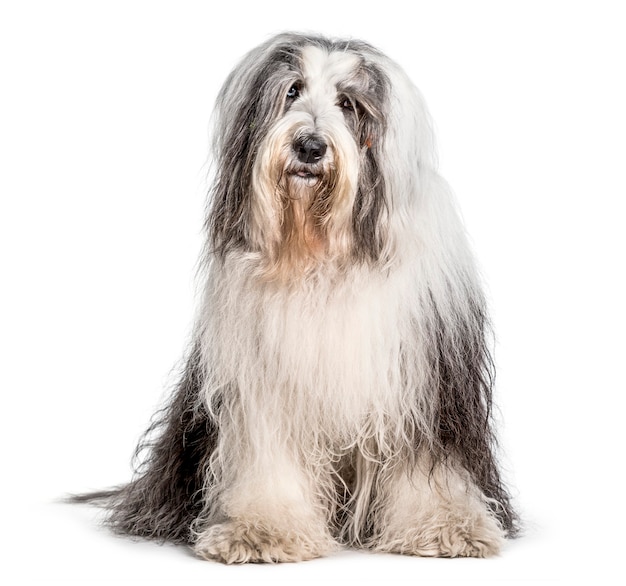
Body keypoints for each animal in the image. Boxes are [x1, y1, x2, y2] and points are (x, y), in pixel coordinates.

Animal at [73, 32, 516, 560]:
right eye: (291, 91)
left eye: (348, 103)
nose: (309, 146)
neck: (320, 255)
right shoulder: (263, 384)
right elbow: (269, 457)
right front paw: (262, 530)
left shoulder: (425, 381)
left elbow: (429, 463)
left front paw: (448, 526)